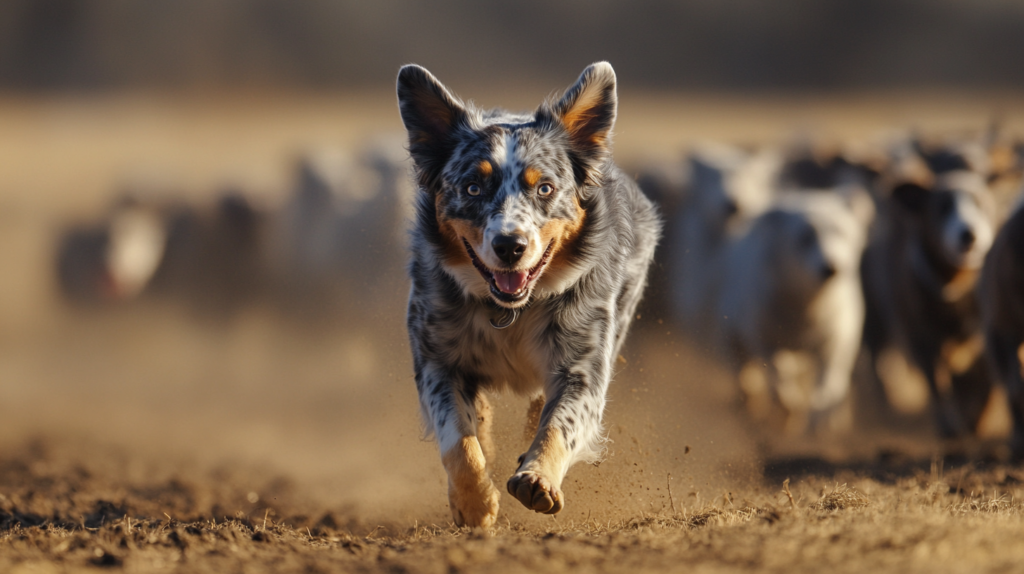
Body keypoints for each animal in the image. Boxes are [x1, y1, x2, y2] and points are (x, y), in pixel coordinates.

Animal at [395, 61, 659, 523]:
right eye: (473, 187)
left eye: (545, 188)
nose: (510, 246)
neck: (511, 312)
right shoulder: (436, 360)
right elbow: (458, 438)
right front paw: (474, 502)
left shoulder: (583, 365)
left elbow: (559, 422)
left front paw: (536, 479)